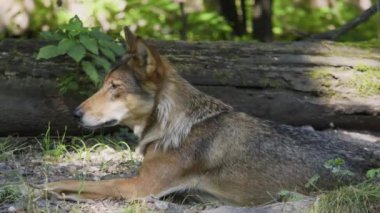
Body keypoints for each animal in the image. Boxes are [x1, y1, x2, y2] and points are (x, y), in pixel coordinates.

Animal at [43, 27, 378, 206]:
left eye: (114, 87)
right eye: (103, 84)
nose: (75, 113)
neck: (175, 126)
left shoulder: (141, 187)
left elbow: (76, 180)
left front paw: (48, 187)